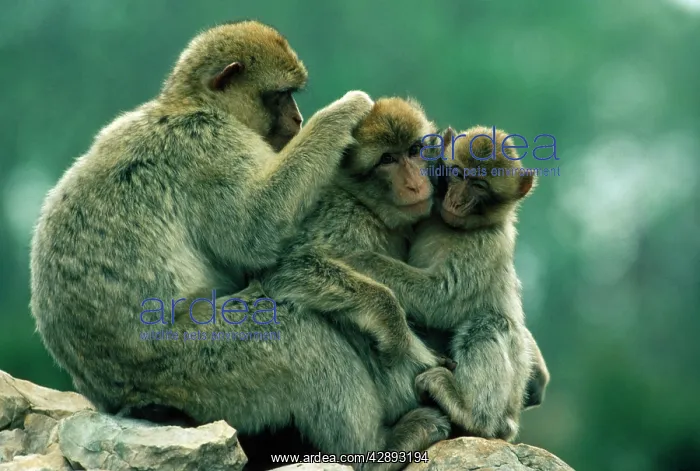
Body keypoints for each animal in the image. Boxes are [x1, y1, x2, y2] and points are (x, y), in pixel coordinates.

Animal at [344, 125, 542, 441]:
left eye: (479, 186)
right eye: (458, 174)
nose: (456, 200)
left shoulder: (485, 245)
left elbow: (441, 299)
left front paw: (359, 259)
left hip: (508, 405)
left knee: (489, 323)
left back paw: (471, 413)